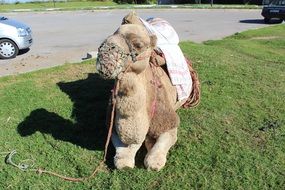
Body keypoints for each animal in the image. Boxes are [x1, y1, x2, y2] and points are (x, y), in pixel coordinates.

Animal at [96, 12, 200, 171]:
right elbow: (123, 159)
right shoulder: (113, 126)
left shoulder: (169, 123)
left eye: (138, 45)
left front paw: (155, 162)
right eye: (108, 37)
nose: (105, 57)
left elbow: (153, 158)